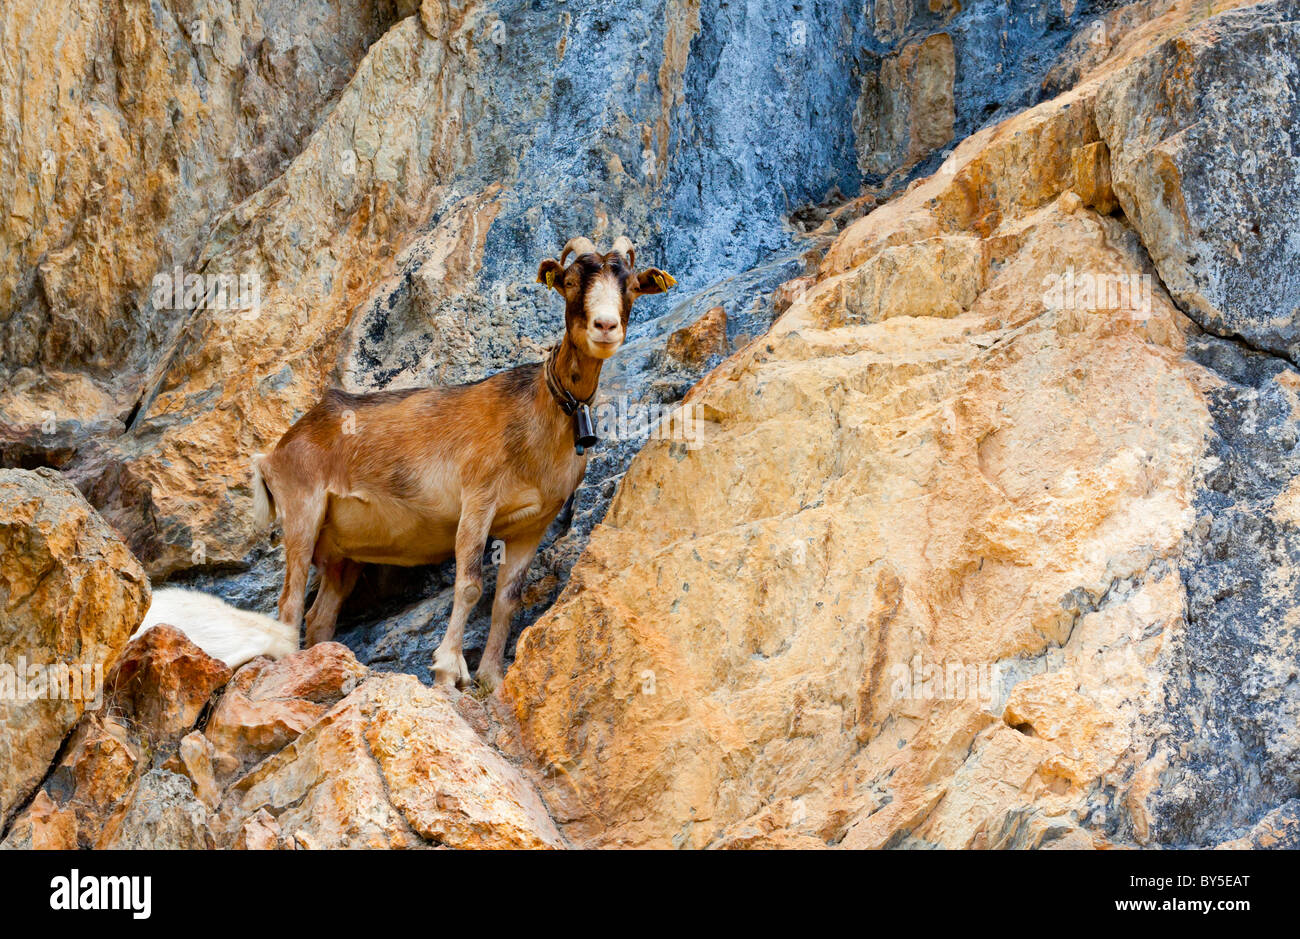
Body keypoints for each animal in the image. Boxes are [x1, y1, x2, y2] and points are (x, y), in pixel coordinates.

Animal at [248, 235, 676, 686]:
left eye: (631, 287)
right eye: (572, 281)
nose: (605, 327)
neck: (538, 415)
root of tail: (275, 452)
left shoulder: (532, 525)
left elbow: (507, 598)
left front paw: (491, 677)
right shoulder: (477, 501)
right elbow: (470, 584)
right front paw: (448, 668)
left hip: (342, 554)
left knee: (320, 615)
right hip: (302, 511)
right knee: (290, 601)